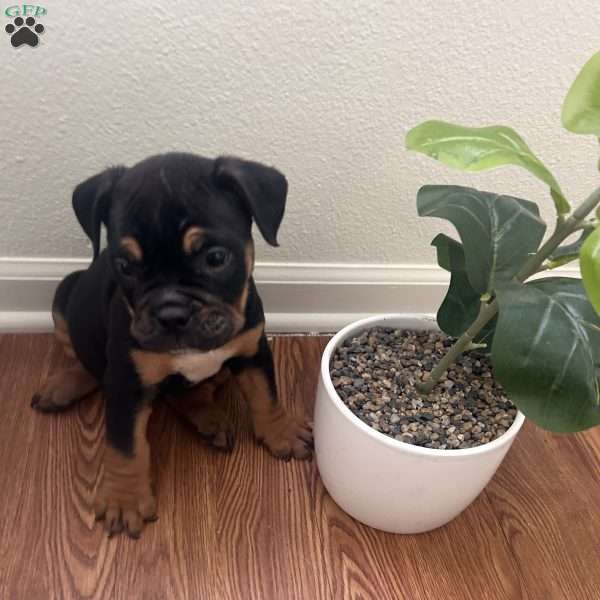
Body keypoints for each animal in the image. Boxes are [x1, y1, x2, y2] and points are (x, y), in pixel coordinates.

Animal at [31, 154, 314, 540]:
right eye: (125, 266)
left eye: (215, 258)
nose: (171, 314)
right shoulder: (126, 381)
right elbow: (126, 443)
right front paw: (125, 499)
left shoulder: (252, 350)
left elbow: (265, 395)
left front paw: (280, 431)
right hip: (65, 294)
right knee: (81, 356)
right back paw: (64, 385)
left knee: (193, 392)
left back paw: (209, 418)